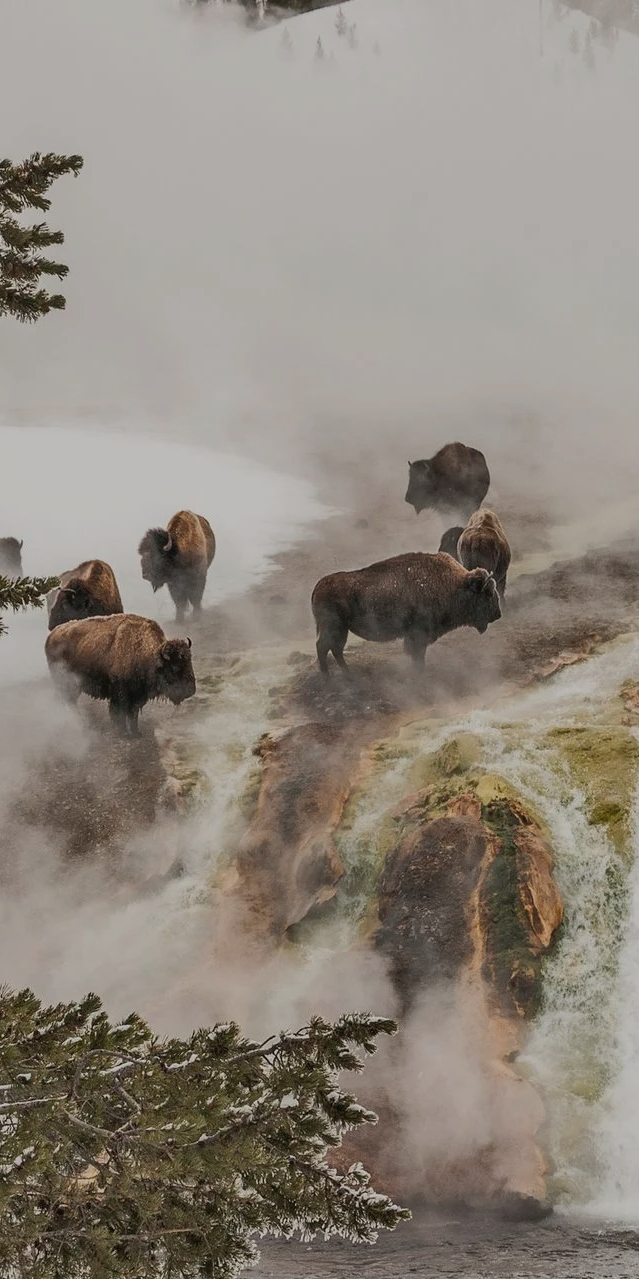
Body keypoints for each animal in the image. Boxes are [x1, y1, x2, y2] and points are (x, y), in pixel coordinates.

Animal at [45, 613, 196, 738]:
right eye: (175, 666)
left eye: (190, 661)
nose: (191, 690)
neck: (146, 653)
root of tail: (51, 636)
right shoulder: (120, 694)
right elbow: (120, 712)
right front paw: (124, 733)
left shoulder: (138, 695)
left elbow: (133, 713)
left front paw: (136, 732)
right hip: (65, 682)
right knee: (67, 701)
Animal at [311, 551, 501, 674]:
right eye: (488, 593)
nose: (498, 614)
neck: (455, 584)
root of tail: (318, 587)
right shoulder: (418, 635)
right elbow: (418, 655)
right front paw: (420, 673)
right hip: (334, 628)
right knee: (324, 647)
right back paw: (328, 676)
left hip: (341, 630)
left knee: (334, 649)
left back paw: (346, 673)